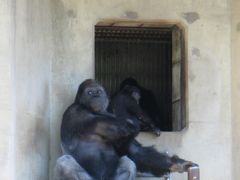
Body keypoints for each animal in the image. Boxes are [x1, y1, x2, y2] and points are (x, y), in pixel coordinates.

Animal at [54, 79, 195, 179]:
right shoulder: (76, 113)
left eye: (98, 91)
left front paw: (177, 163)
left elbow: (134, 151)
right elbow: (125, 127)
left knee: (128, 163)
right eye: (90, 92)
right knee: (65, 163)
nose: (95, 96)